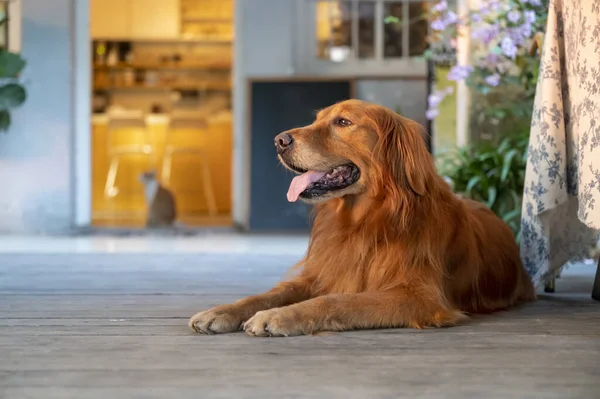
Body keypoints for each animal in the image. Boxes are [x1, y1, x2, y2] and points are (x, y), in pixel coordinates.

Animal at [189, 100, 536, 338]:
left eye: (343, 122)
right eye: (316, 120)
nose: (279, 141)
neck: (364, 222)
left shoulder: (419, 297)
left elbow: (337, 301)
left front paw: (277, 316)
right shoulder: (318, 275)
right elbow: (268, 294)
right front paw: (221, 310)